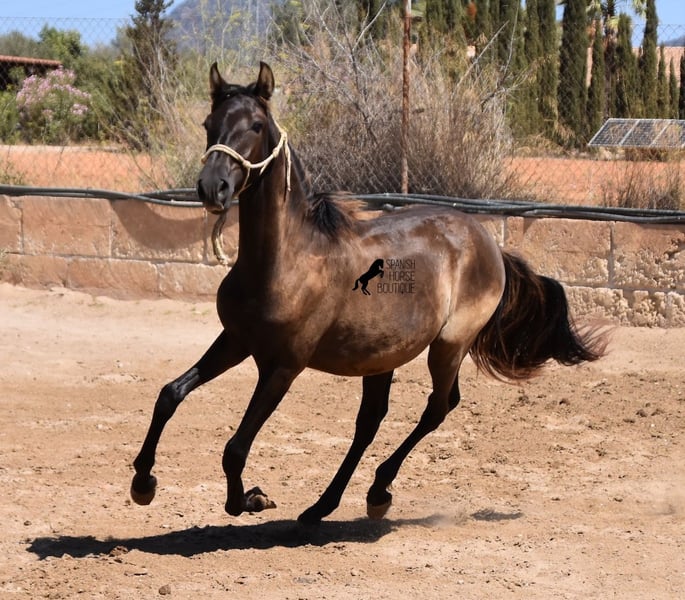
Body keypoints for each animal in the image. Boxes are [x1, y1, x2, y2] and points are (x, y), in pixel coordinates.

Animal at [130, 62, 605, 525]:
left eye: (256, 125)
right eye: (209, 123)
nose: (213, 188)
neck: (285, 261)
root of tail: (490, 245)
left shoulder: (283, 366)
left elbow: (235, 448)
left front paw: (252, 499)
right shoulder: (236, 340)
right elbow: (169, 394)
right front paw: (142, 483)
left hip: (449, 345)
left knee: (438, 407)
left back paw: (376, 492)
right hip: (382, 356)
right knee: (371, 422)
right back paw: (324, 506)